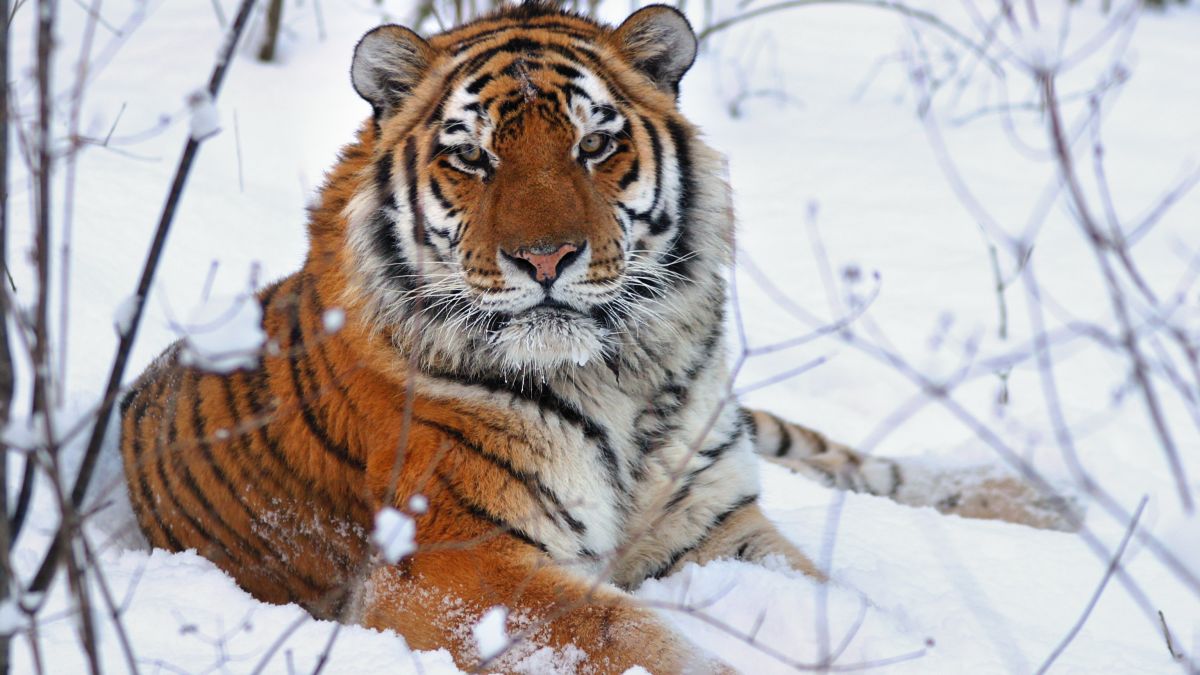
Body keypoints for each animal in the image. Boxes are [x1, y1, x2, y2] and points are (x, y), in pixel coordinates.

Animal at [119, 2, 1080, 667]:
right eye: (471, 157)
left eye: (593, 146)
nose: (545, 257)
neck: (622, 374)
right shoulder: (457, 563)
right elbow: (633, 641)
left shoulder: (716, 522)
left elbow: (834, 597)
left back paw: (1041, 499)